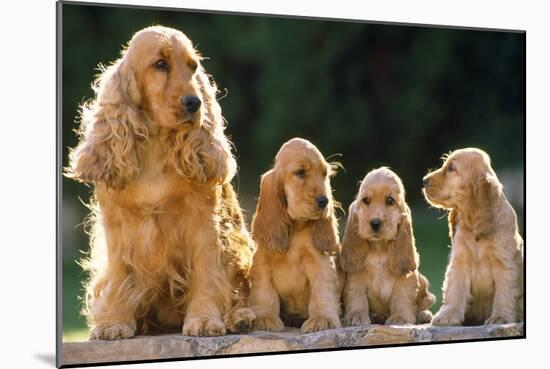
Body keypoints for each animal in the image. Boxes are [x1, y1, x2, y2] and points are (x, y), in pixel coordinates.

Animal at [66, 25, 256, 340]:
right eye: (160, 64)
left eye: (193, 67)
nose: (195, 103)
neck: (155, 145)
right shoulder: (117, 224)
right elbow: (118, 276)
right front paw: (113, 323)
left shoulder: (203, 221)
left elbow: (207, 272)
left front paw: (204, 320)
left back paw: (239, 317)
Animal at [249, 139, 342, 334]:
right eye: (300, 172)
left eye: (324, 174)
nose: (324, 201)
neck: (297, 226)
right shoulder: (262, 261)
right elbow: (264, 291)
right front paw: (264, 318)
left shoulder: (320, 262)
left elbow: (322, 291)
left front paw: (322, 319)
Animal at [340, 167, 436, 324]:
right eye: (366, 200)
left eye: (390, 200)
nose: (375, 223)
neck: (379, 247)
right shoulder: (356, 274)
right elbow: (356, 294)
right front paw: (356, 315)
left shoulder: (406, 277)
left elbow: (402, 296)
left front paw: (400, 318)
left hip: (424, 283)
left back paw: (423, 315)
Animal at [426, 147, 528, 324]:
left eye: (451, 168)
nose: (424, 180)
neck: (473, 225)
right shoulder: (459, 262)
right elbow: (455, 290)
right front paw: (447, 315)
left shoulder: (504, 265)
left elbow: (504, 294)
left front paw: (500, 318)